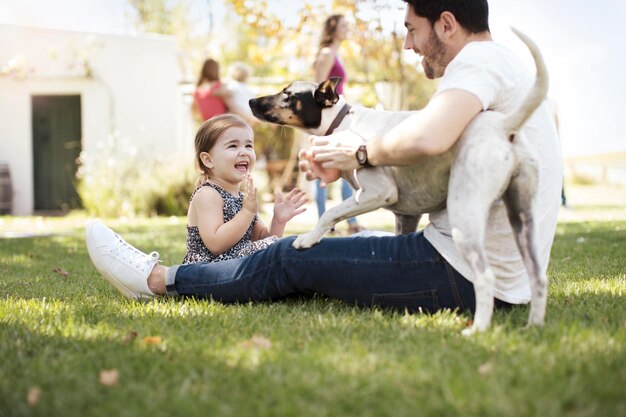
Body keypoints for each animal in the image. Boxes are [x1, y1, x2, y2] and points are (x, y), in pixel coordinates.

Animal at [246, 28, 548, 334]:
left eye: (287, 95)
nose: (250, 101)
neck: (341, 123)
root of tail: (502, 126)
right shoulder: (406, 216)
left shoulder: (378, 192)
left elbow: (330, 212)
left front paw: (308, 238)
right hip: (523, 220)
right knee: (539, 277)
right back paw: (533, 326)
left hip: (465, 218)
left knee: (486, 277)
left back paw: (477, 329)